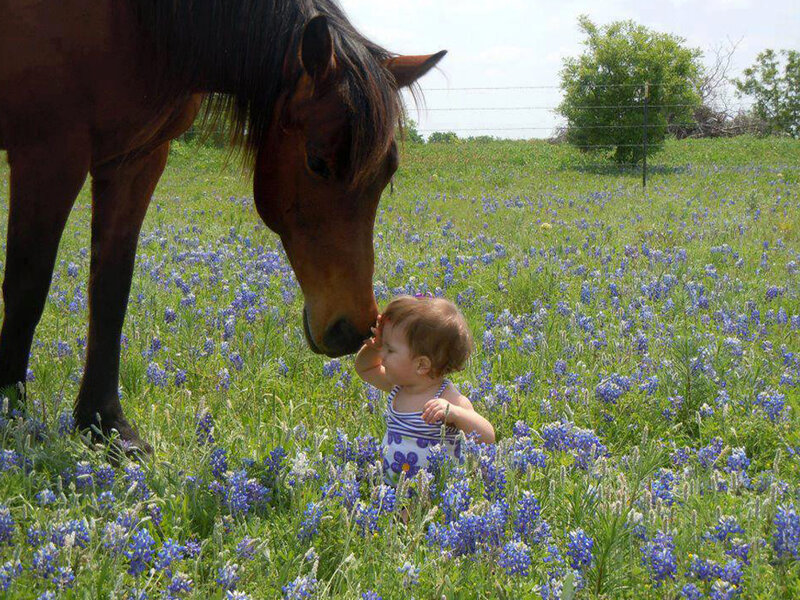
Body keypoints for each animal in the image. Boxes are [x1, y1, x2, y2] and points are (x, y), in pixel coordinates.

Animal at [0, 0, 445, 453]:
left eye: (388, 172)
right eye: (317, 162)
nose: (353, 330)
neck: (141, 24)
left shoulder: (138, 156)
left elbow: (111, 291)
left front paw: (106, 425)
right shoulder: (51, 147)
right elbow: (27, 288)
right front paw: (12, 416)